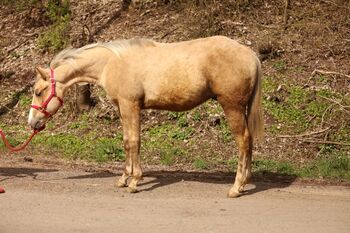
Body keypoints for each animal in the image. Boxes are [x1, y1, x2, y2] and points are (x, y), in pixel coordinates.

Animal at [28, 35, 262, 198]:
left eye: (38, 91)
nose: (32, 122)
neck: (111, 63)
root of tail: (251, 55)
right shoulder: (122, 108)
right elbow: (126, 142)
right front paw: (124, 178)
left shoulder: (130, 106)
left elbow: (134, 142)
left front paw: (134, 181)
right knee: (249, 140)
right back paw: (245, 181)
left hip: (232, 107)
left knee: (243, 141)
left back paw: (237, 186)